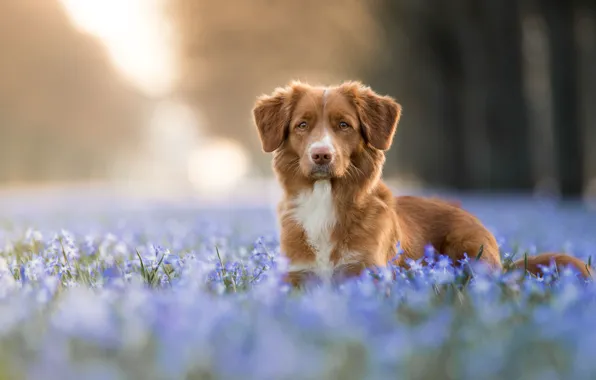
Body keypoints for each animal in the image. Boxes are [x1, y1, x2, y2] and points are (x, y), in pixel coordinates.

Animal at [251, 81, 592, 288]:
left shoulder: (366, 273)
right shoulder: (296, 276)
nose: (321, 155)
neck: (325, 200)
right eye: (302, 125)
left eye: (344, 125)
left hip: (469, 247)